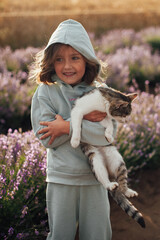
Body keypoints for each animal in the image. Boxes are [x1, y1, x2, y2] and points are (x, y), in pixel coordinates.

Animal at [70, 85, 145, 228]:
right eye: (125, 114)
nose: (127, 121)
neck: (102, 104)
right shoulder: (78, 110)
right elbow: (76, 125)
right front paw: (75, 140)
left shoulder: (103, 117)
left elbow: (109, 123)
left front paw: (109, 135)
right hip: (95, 160)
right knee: (103, 180)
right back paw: (110, 185)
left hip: (118, 161)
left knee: (122, 183)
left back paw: (128, 191)